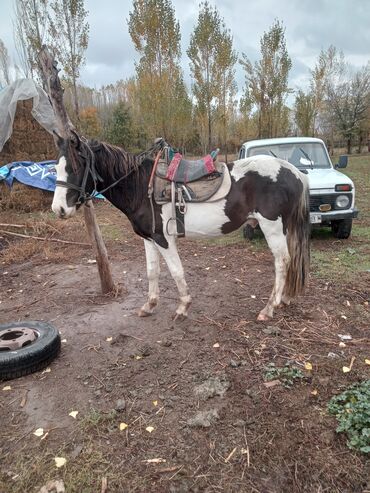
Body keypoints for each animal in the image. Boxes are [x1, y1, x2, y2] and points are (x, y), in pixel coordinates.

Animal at [50, 133, 310, 320]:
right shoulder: (149, 238)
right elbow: (152, 271)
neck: (140, 186)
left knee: (282, 262)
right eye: (55, 168)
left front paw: (183, 307)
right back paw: (285, 298)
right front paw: (149, 305)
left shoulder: (164, 239)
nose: (58, 209)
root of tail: (297, 173)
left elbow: (176, 271)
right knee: (292, 259)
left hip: (272, 227)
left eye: (75, 168)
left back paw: (269, 308)